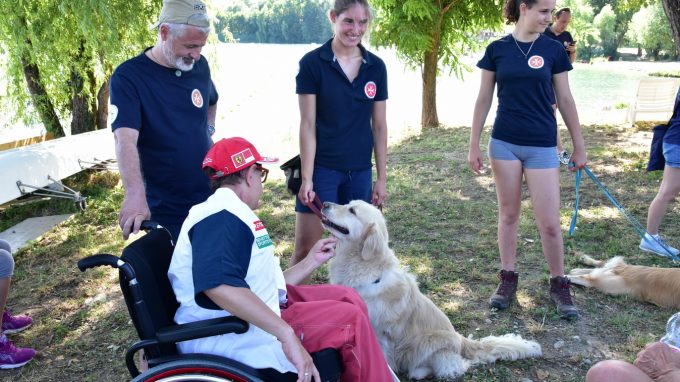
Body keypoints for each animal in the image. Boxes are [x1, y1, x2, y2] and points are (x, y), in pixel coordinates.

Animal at [320, 200, 540, 380]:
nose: (324, 203)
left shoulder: (381, 331)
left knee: (455, 366)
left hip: (431, 343)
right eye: (347, 204)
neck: (361, 264)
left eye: (352, 210)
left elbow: (381, 358)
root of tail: (461, 340)